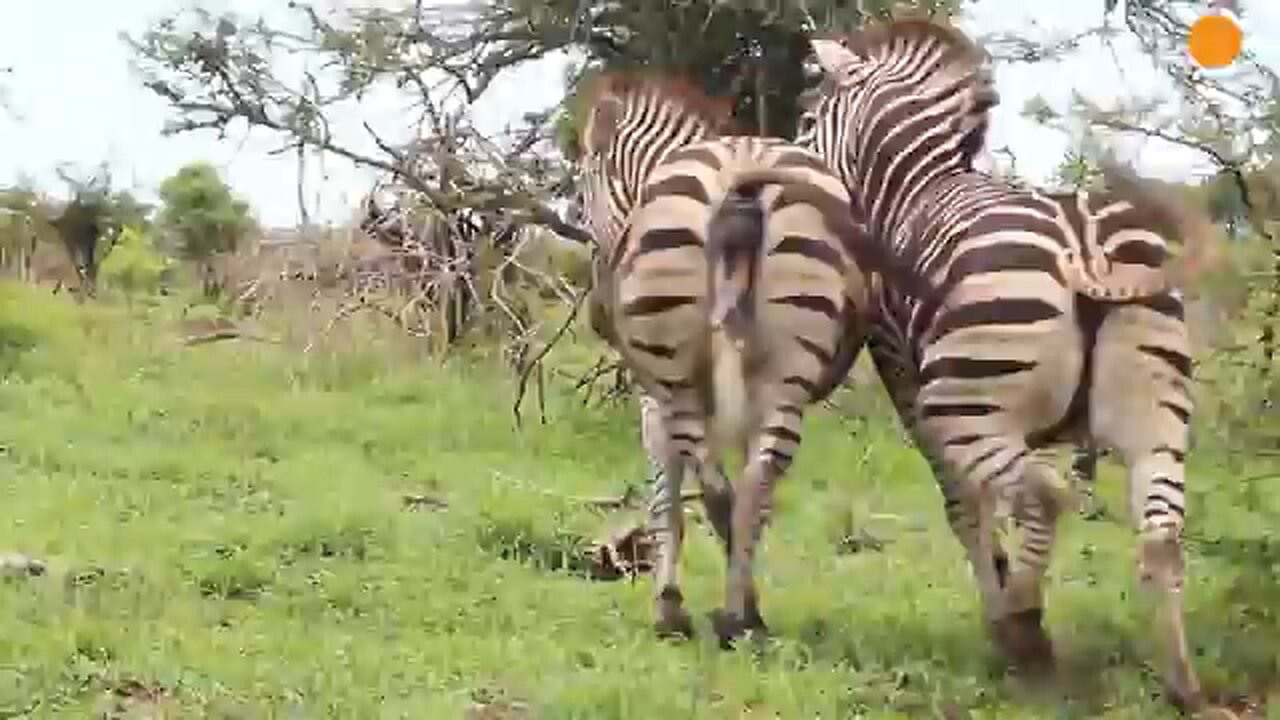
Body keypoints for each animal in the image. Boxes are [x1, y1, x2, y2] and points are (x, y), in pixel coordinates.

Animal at [576, 70, 885, 635]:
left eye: (581, 201)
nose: (599, 318)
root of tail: (741, 172)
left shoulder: (654, 399)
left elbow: (667, 501)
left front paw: (669, 605)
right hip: (788, 374)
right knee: (754, 486)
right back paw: (746, 618)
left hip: (678, 381)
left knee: (717, 490)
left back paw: (725, 617)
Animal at [798, 19, 1218, 712]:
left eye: (810, 119)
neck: (912, 181)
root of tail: (1085, 245)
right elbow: (1005, 505)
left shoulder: (904, 378)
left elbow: (967, 504)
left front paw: (1002, 605)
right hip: (1157, 416)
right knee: (1160, 534)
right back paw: (1182, 682)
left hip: (961, 408)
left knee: (1046, 496)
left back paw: (1025, 626)